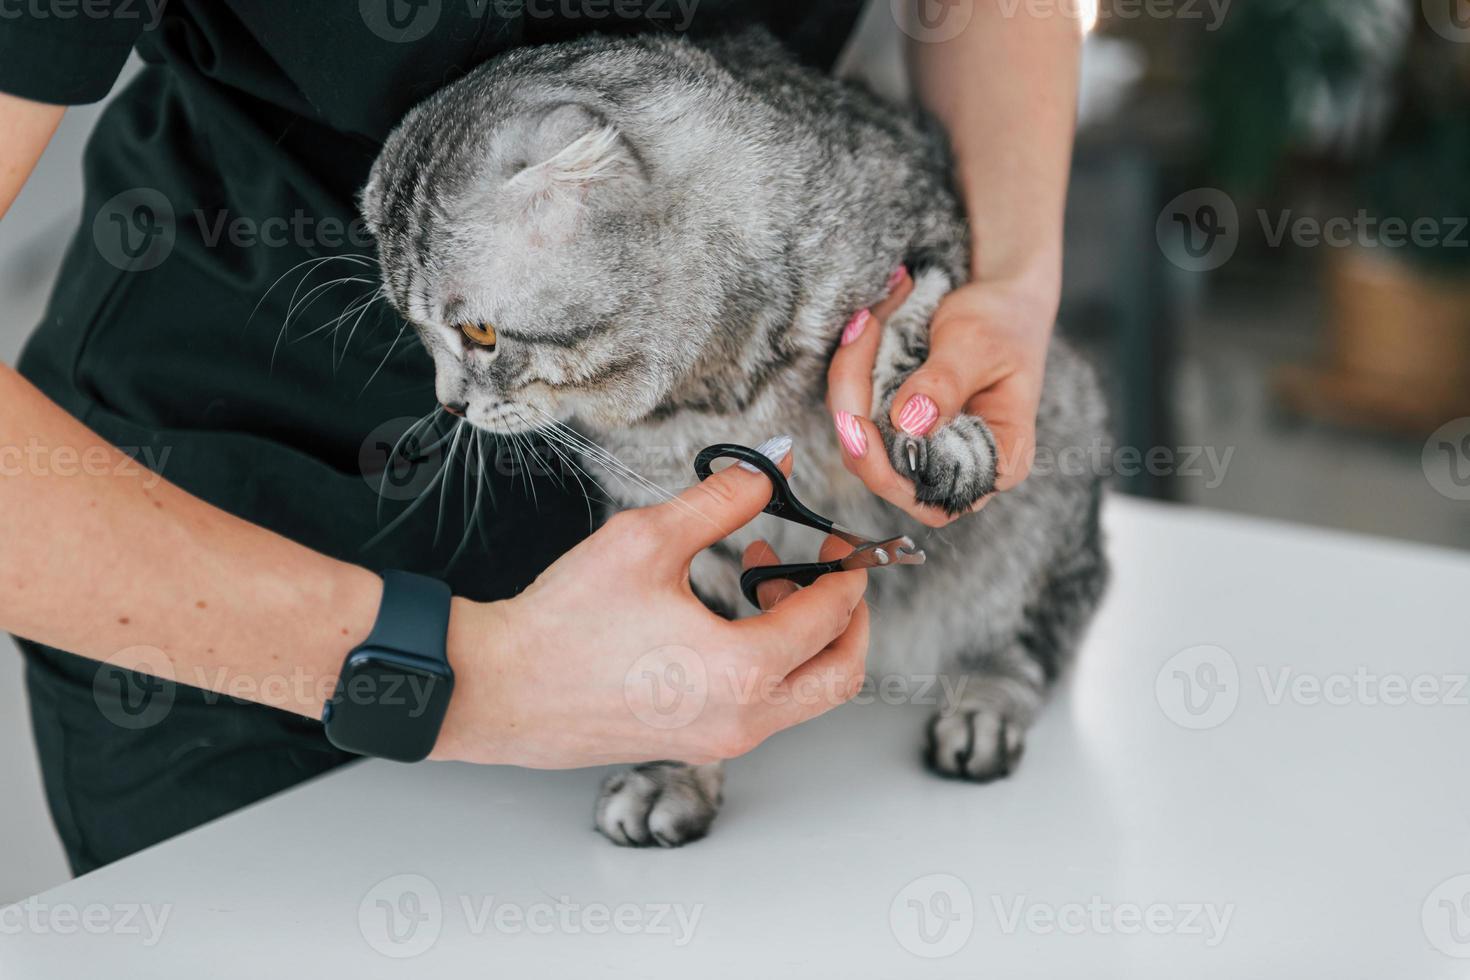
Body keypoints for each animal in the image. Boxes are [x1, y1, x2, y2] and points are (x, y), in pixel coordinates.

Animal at [361, 26, 1105, 846]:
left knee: (1038, 628)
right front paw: (671, 777)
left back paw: (983, 709)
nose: (450, 404)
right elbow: (687, 657)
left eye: (479, 334)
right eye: (415, 330)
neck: (709, 389)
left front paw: (931, 433)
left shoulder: (927, 239)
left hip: (1062, 453)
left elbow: (909, 338)